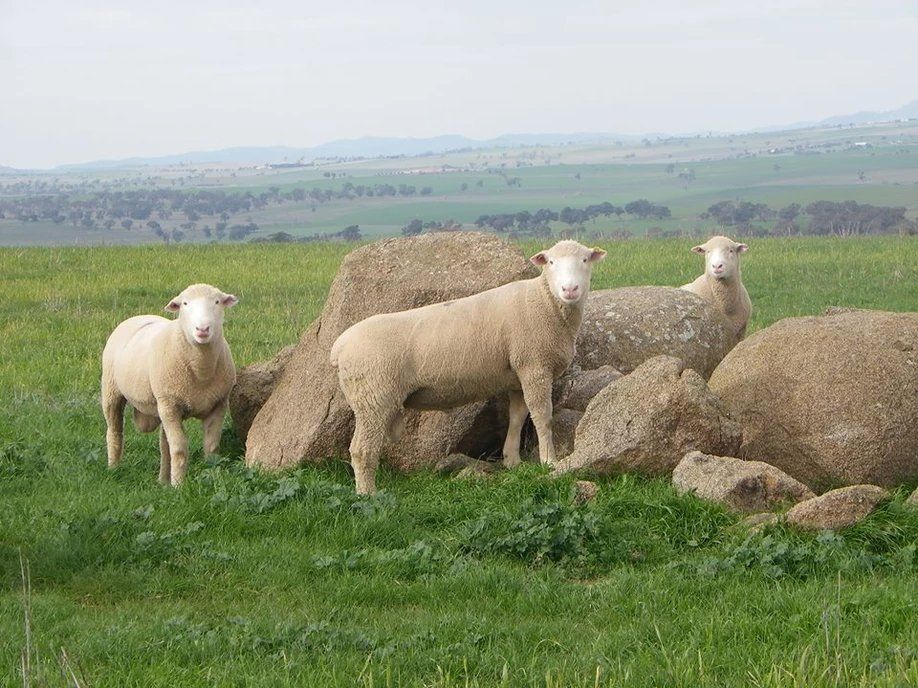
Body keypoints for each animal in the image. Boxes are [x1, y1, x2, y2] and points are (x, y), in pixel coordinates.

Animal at [101, 284, 238, 486]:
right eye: (185, 304)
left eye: (217, 302)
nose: (202, 329)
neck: (201, 371)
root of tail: (138, 316)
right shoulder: (171, 405)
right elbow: (179, 449)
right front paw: (179, 485)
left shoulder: (218, 405)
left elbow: (212, 448)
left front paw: (211, 476)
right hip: (113, 391)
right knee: (114, 431)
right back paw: (113, 467)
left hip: (162, 406)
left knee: (164, 445)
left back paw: (163, 480)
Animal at [330, 240, 607, 494]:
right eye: (550, 262)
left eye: (585, 260)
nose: (569, 289)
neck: (545, 301)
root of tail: (339, 347)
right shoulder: (535, 366)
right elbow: (543, 417)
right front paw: (549, 462)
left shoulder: (519, 374)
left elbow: (517, 417)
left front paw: (512, 461)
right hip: (373, 397)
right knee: (362, 450)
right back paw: (368, 494)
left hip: (371, 399)